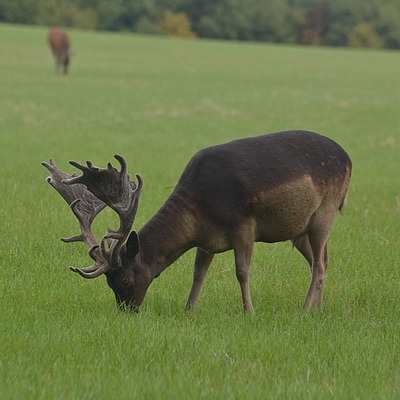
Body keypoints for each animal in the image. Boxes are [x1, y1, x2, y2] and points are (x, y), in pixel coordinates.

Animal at [42, 130, 352, 312]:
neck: (200, 210)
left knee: (320, 262)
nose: (126, 311)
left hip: (325, 210)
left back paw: (305, 309)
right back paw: (317, 308)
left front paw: (248, 311)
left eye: (126, 280)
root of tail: (348, 157)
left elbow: (242, 271)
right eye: (109, 283)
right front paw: (188, 310)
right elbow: (198, 273)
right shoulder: (207, 240)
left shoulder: (243, 225)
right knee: (320, 260)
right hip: (300, 230)